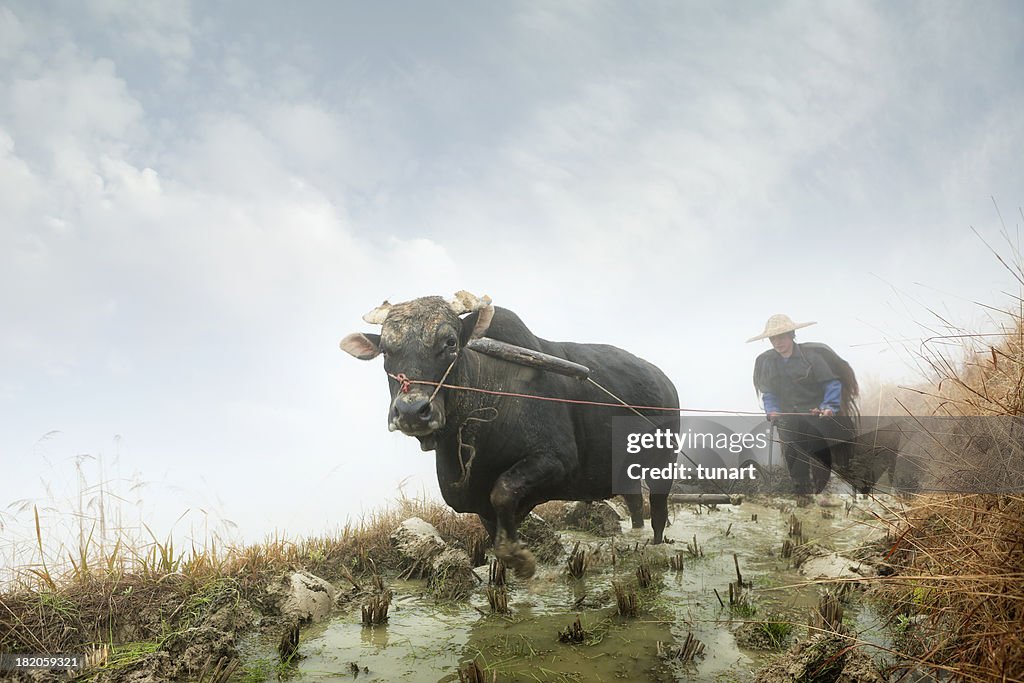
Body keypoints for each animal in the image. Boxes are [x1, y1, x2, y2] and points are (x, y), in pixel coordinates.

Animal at [342, 292, 679, 577]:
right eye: (386, 350)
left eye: (450, 342)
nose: (412, 411)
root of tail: (665, 383)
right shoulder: (481, 504)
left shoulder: (556, 460)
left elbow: (503, 490)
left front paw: (521, 559)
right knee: (635, 503)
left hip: (663, 464)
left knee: (658, 511)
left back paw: (656, 545)